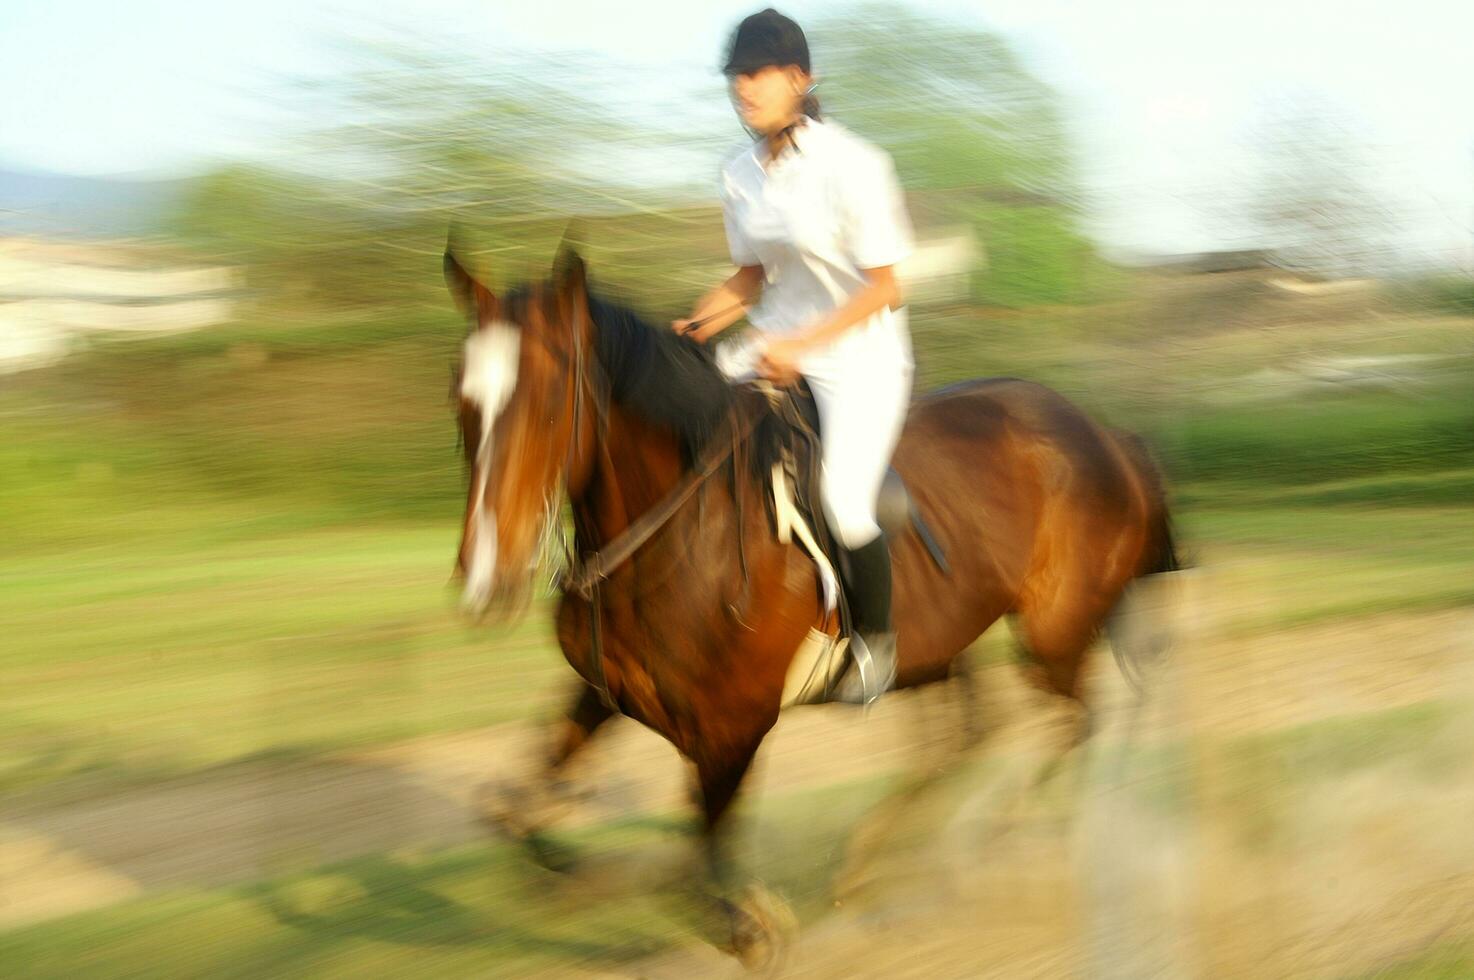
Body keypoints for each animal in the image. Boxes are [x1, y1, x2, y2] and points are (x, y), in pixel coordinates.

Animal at [436, 243, 1173, 960]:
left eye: (550, 398)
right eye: (462, 397)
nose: (486, 577)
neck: (678, 535)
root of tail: (1108, 435)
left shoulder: (732, 730)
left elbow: (703, 865)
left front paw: (748, 921)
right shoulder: (607, 692)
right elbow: (518, 815)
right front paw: (578, 868)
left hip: (1053, 633)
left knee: (1075, 721)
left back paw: (988, 836)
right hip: (940, 651)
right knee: (968, 737)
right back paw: (874, 861)